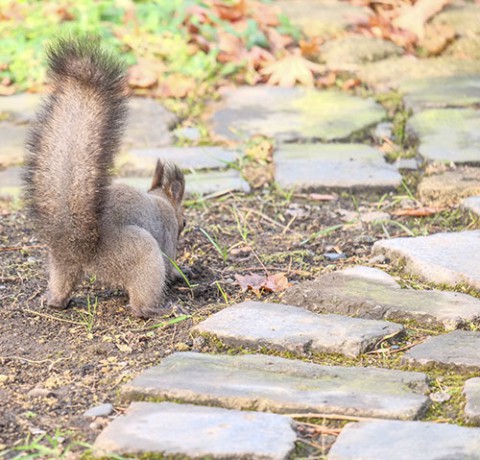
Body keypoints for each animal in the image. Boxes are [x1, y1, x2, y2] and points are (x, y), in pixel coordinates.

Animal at [23, 36, 187, 318]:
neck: (160, 199)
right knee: (141, 304)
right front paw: (180, 275)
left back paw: (52, 300)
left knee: (60, 287)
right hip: (139, 253)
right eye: (184, 223)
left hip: (61, 263)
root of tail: (77, 243)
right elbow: (170, 263)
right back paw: (160, 309)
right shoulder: (167, 233)